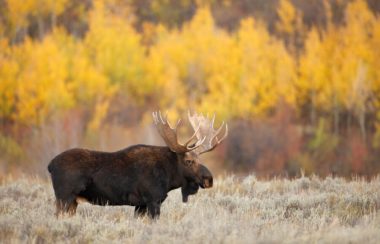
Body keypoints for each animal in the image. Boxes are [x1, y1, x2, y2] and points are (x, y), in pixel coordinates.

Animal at [46, 111, 226, 218]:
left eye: (200, 159)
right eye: (189, 161)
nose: (209, 179)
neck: (168, 178)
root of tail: (50, 165)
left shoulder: (141, 205)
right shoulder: (153, 200)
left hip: (71, 201)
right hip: (64, 197)